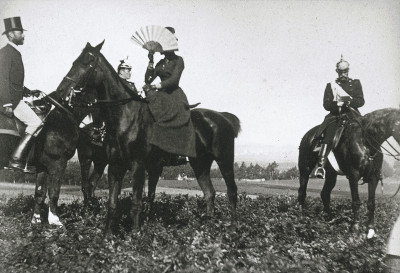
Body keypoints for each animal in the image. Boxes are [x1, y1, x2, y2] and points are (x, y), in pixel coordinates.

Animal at [55, 41, 241, 231]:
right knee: (209, 193)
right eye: (74, 62)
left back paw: (233, 227)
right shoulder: (116, 165)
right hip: (200, 164)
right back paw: (208, 228)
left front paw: (136, 233)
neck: (127, 118)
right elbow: (113, 204)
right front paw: (108, 235)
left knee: (231, 191)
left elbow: (137, 202)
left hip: (224, 160)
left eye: (87, 63)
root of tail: (224, 117)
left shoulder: (139, 166)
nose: (61, 91)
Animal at [298, 107, 400, 237]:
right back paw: (300, 219)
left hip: (331, 175)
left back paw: (329, 219)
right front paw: (355, 226)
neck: (365, 142)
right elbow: (356, 201)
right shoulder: (353, 175)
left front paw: (371, 229)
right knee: (302, 192)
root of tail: (308, 135)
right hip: (304, 169)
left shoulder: (374, 177)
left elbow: (371, 203)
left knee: (324, 194)